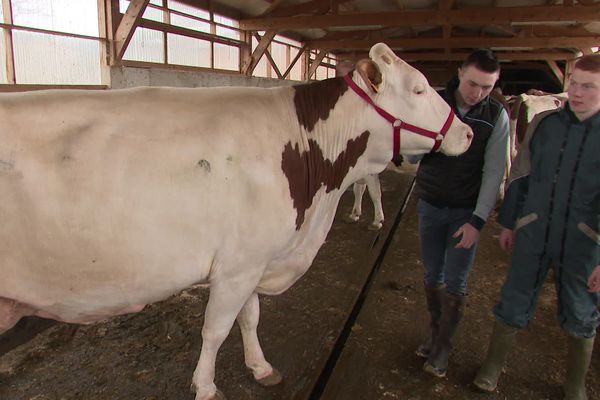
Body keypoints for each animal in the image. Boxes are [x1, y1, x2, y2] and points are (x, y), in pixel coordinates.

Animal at [0, 42, 472, 398]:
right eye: (418, 90)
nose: (467, 133)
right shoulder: (237, 267)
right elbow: (216, 329)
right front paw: (207, 387)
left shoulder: (253, 258)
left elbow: (249, 318)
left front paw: (260, 367)